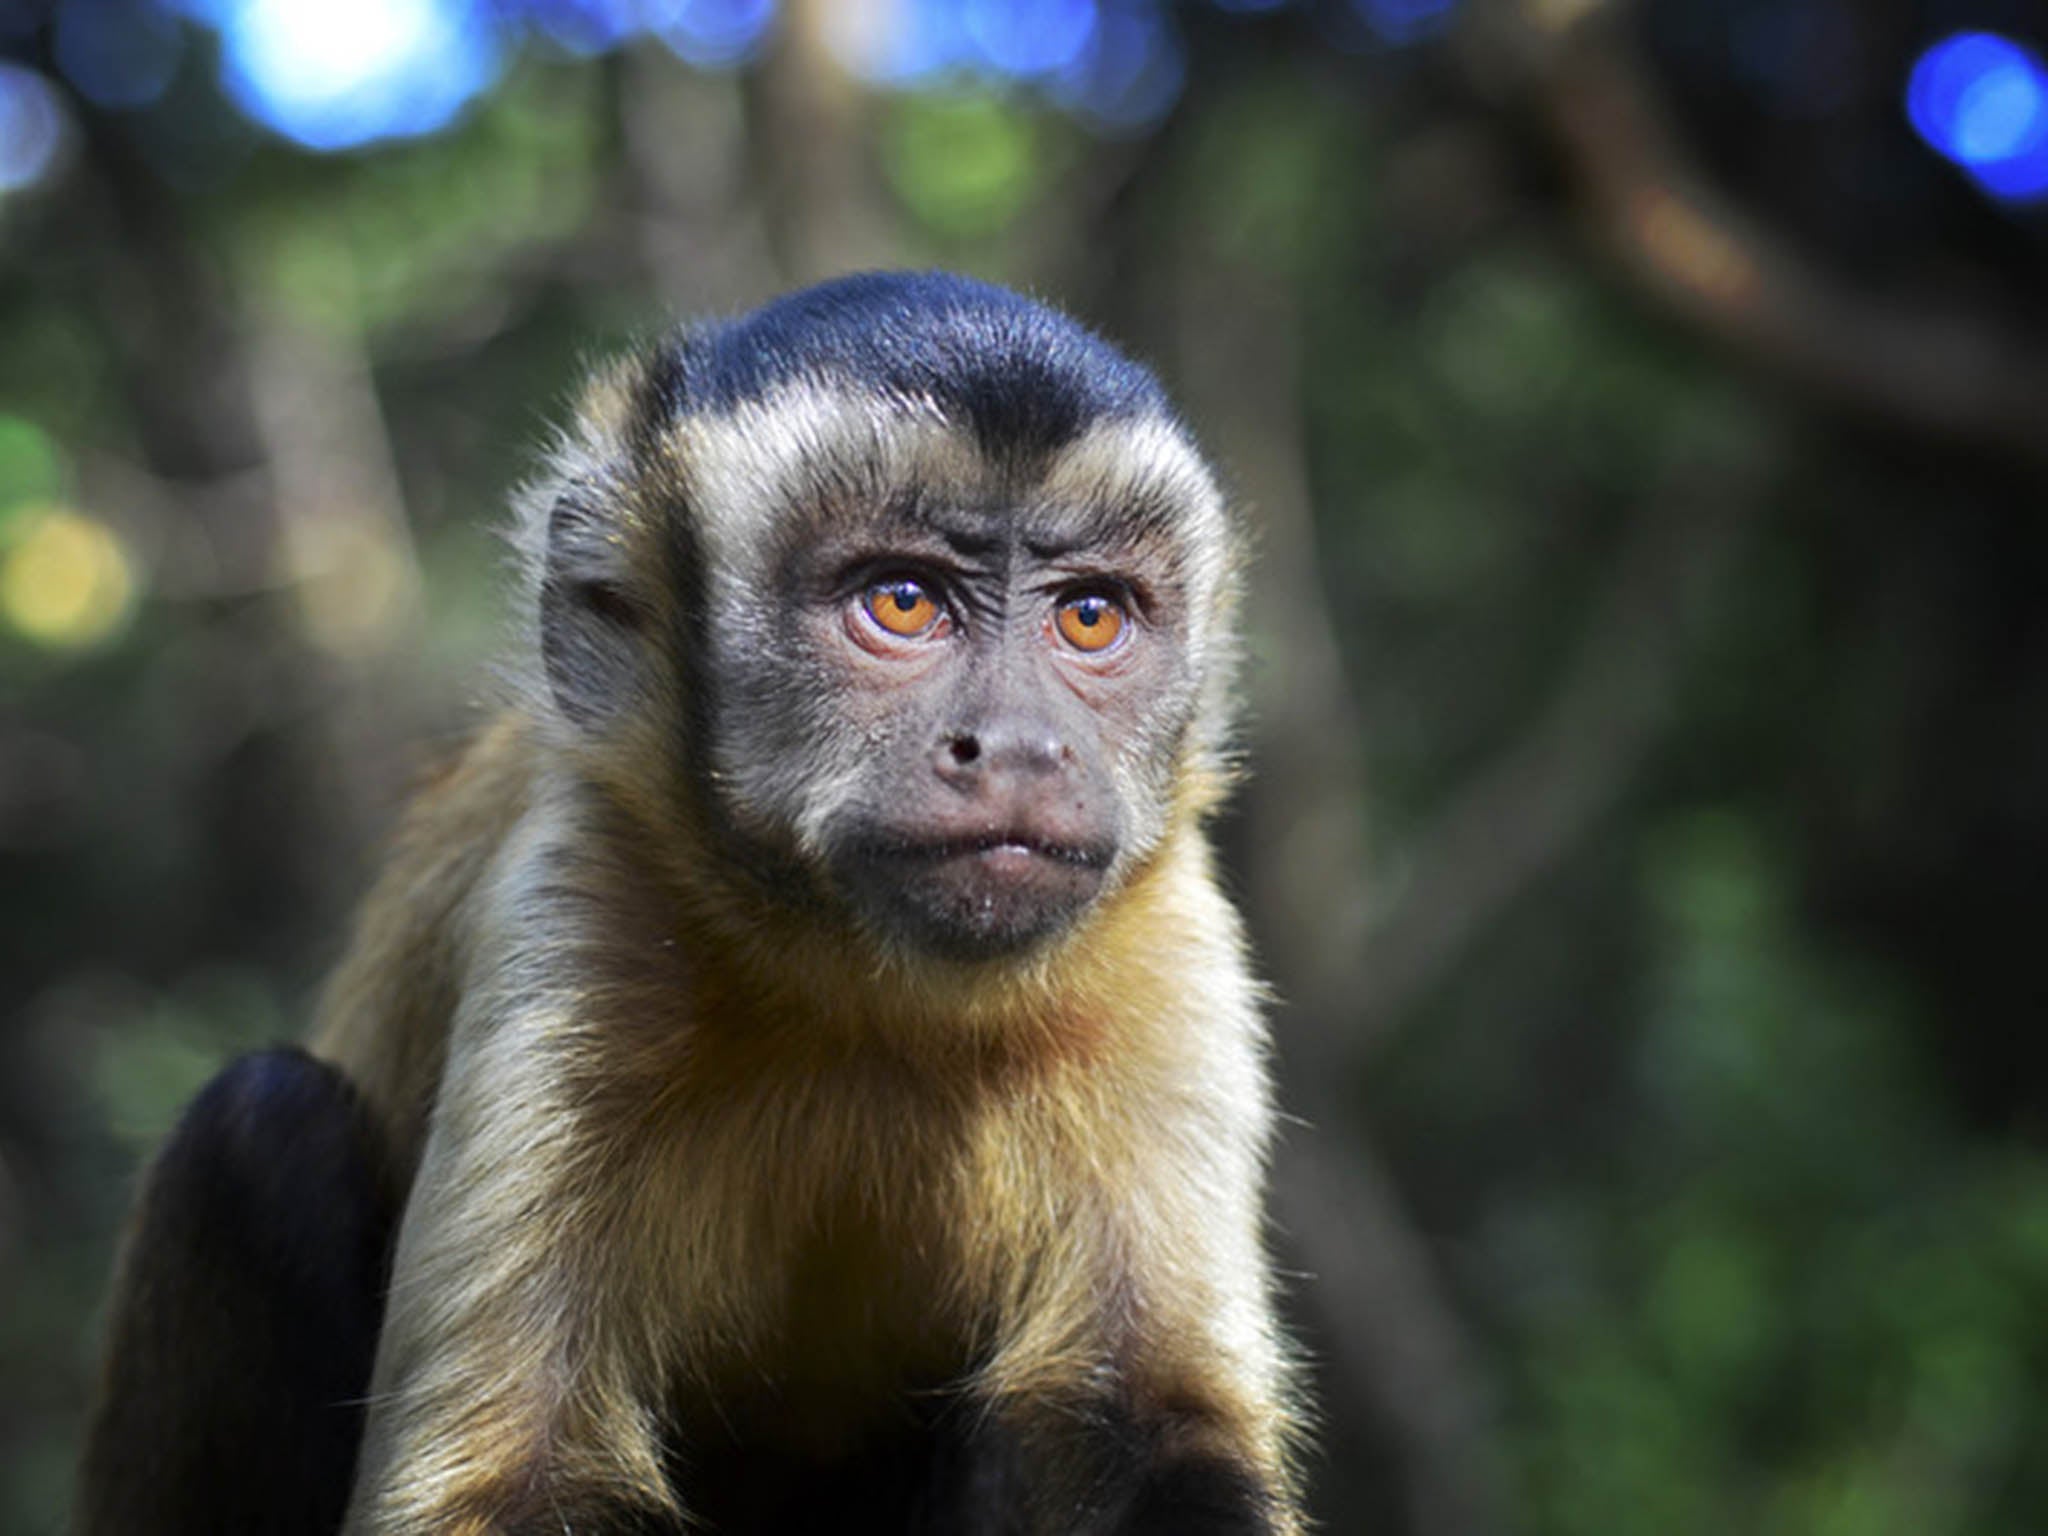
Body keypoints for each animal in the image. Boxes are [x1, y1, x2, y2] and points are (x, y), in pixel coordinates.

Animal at [79, 276, 1302, 1536]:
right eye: (901, 602)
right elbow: (510, 1475)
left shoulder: (1169, 939)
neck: (859, 986)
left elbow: (1148, 1424)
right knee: (256, 1126)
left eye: (1091, 618)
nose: (1016, 745)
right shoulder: (577, 903)